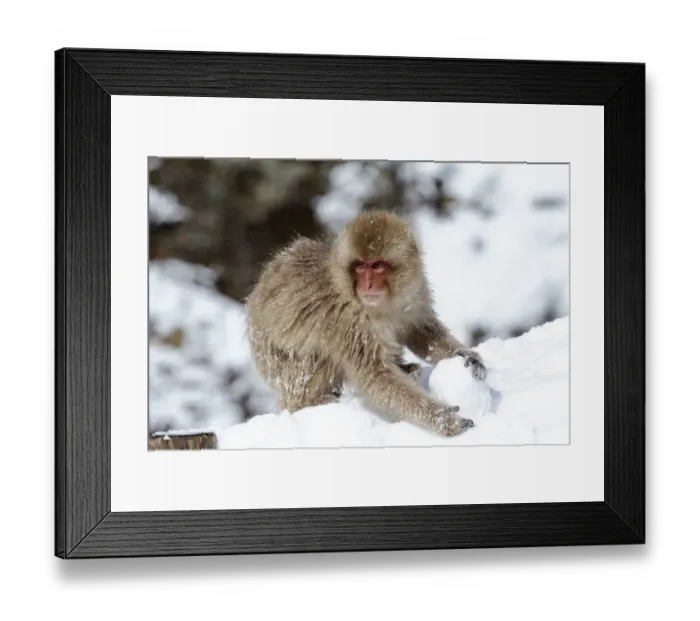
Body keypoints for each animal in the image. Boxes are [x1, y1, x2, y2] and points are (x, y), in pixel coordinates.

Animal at [244, 209, 487, 437]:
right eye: (360, 266)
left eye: (377, 265)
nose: (367, 284)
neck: (380, 306)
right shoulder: (349, 322)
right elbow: (375, 376)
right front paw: (443, 419)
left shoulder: (416, 293)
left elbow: (421, 333)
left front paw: (467, 355)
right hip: (280, 368)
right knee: (314, 359)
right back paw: (315, 402)